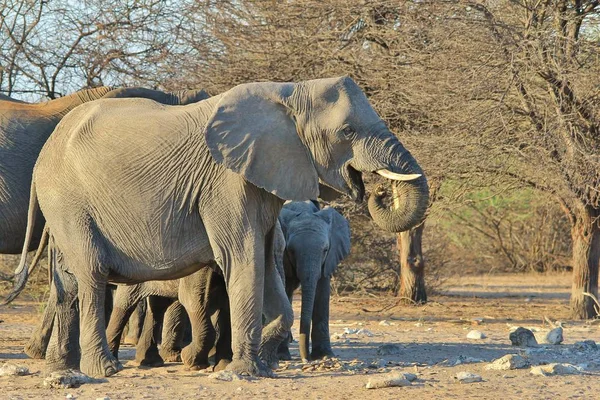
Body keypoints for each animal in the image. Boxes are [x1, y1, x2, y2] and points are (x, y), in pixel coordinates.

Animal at [278, 202, 352, 360]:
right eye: (291, 250)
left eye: (325, 250)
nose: (306, 359)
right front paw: (281, 356)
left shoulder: (327, 260)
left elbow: (322, 292)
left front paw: (325, 356)